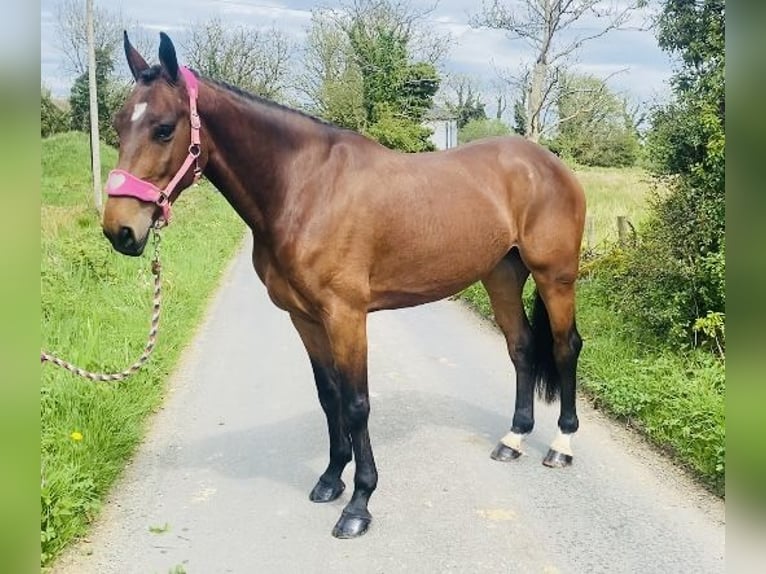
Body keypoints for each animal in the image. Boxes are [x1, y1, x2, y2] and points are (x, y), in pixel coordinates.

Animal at [102, 33, 588, 544]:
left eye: (163, 128)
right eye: (117, 123)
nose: (120, 230)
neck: (304, 188)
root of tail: (549, 164)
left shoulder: (346, 315)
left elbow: (356, 404)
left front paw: (359, 504)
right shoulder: (304, 317)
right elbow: (328, 395)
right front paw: (332, 479)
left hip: (555, 276)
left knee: (564, 347)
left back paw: (561, 444)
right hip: (501, 274)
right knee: (521, 348)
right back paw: (513, 439)